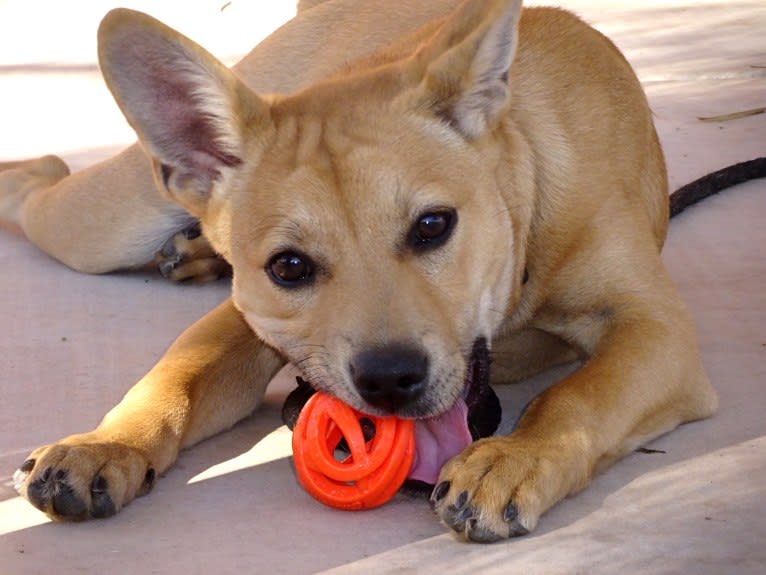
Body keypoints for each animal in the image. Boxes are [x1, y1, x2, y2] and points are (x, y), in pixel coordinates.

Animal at [4, 0, 720, 544]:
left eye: (432, 225)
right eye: (289, 266)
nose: (390, 380)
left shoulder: (655, 329)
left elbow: (575, 395)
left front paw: (511, 459)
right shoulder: (243, 316)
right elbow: (176, 376)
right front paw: (106, 446)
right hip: (101, 224)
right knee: (42, 184)